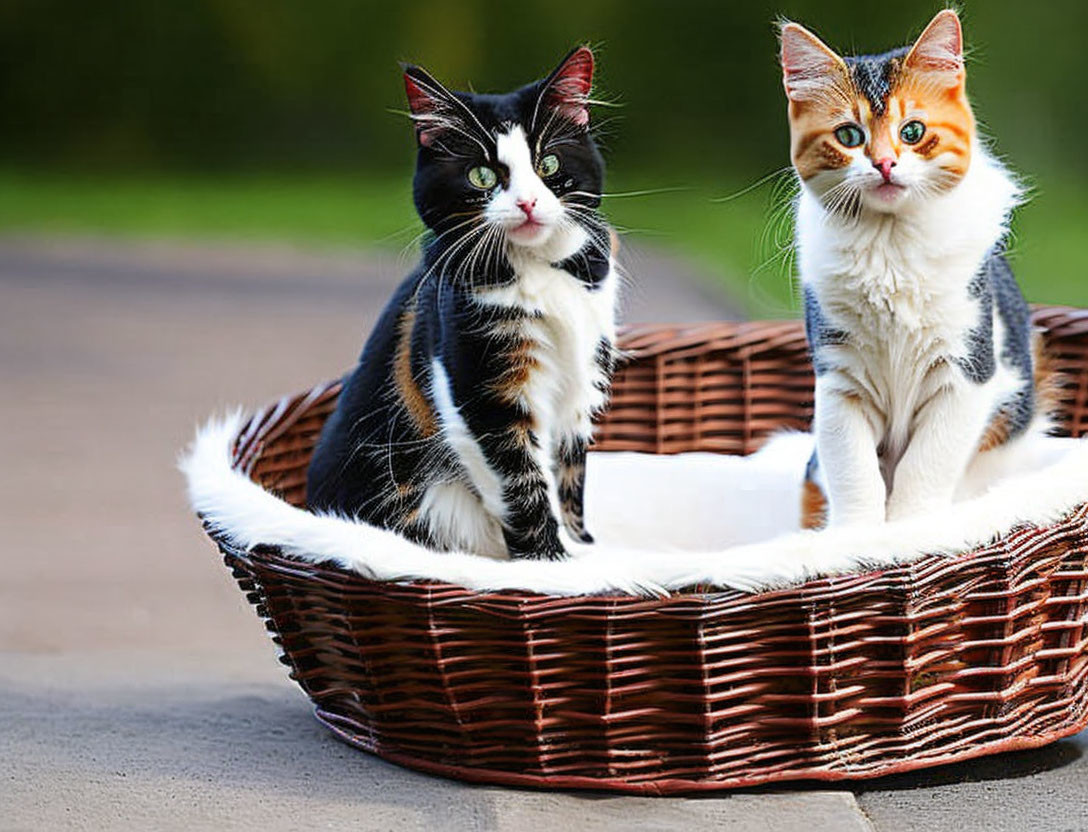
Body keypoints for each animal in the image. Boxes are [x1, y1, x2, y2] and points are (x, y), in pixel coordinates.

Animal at [308, 48, 622, 561]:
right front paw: (553, 565)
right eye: (482, 174)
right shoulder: (481, 388)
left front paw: (583, 546)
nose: (529, 202)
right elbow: (524, 484)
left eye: (548, 163)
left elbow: (569, 477)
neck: (539, 270)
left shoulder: (583, 380)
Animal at [783, 11, 1053, 526]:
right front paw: (856, 536)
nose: (885, 164)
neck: (889, 246)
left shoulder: (967, 370)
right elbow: (852, 468)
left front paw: (911, 528)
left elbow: (926, 464)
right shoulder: (838, 378)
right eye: (849, 136)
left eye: (912, 131)